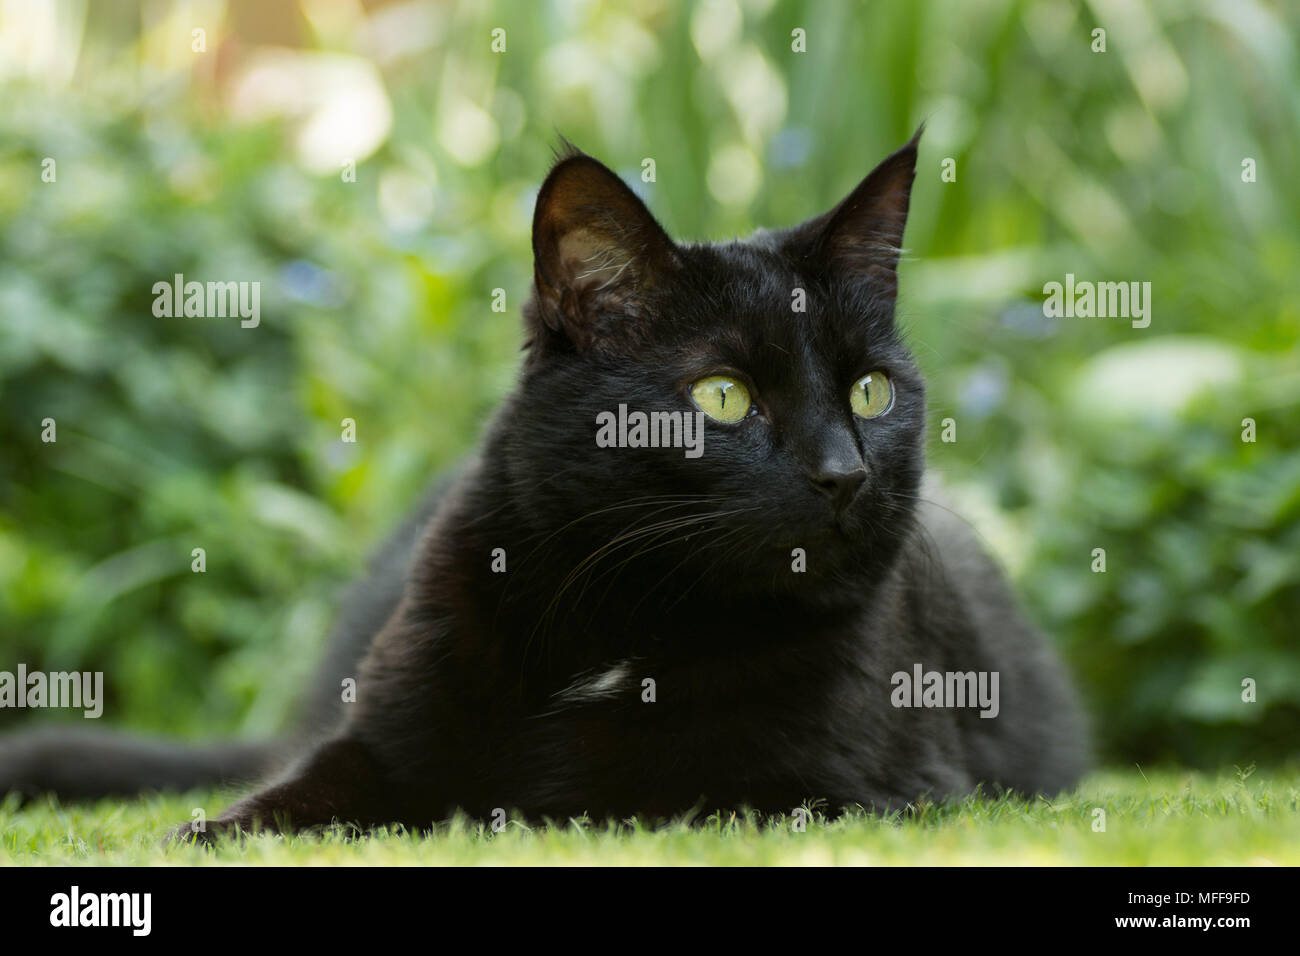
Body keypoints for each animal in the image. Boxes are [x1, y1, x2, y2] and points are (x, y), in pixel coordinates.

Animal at [0, 132, 1086, 837]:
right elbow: (292, 797)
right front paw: (210, 830)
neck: (621, 619)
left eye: (870, 389)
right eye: (723, 395)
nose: (843, 472)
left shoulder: (842, 790)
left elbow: (636, 794)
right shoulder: (382, 740)